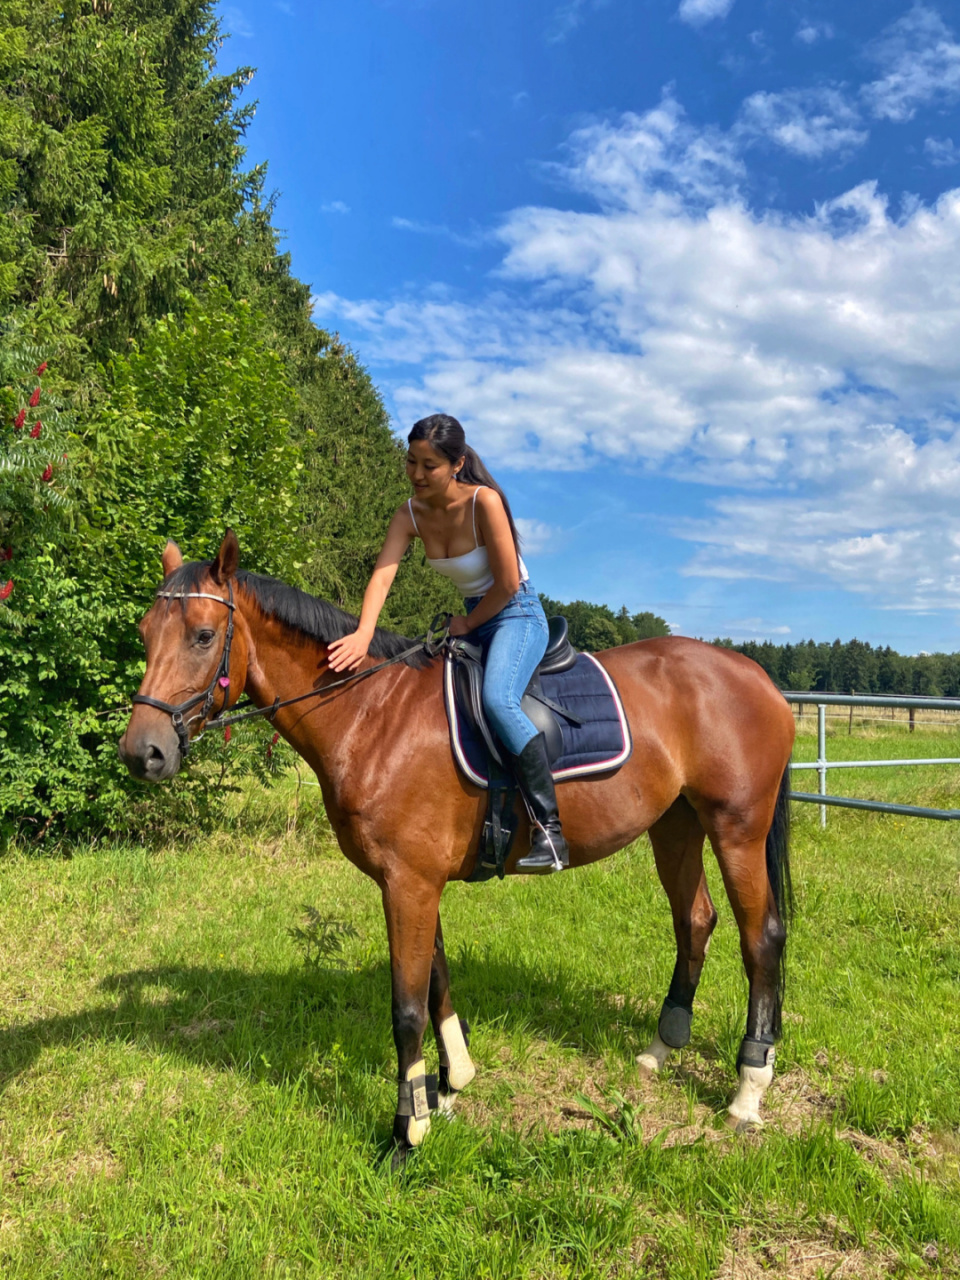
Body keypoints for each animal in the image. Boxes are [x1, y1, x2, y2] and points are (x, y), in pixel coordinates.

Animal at [119, 530, 795, 1161]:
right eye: (145, 632)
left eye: (203, 636)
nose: (141, 752)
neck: (371, 714)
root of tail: (755, 674)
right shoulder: (415, 881)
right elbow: (437, 981)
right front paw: (447, 1087)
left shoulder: (409, 882)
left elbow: (407, 1007)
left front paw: (406, 1131)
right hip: (675, 825)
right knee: (695, 920)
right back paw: (660, 1048)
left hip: (736, 829)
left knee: (761, 938)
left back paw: (747, 1089)